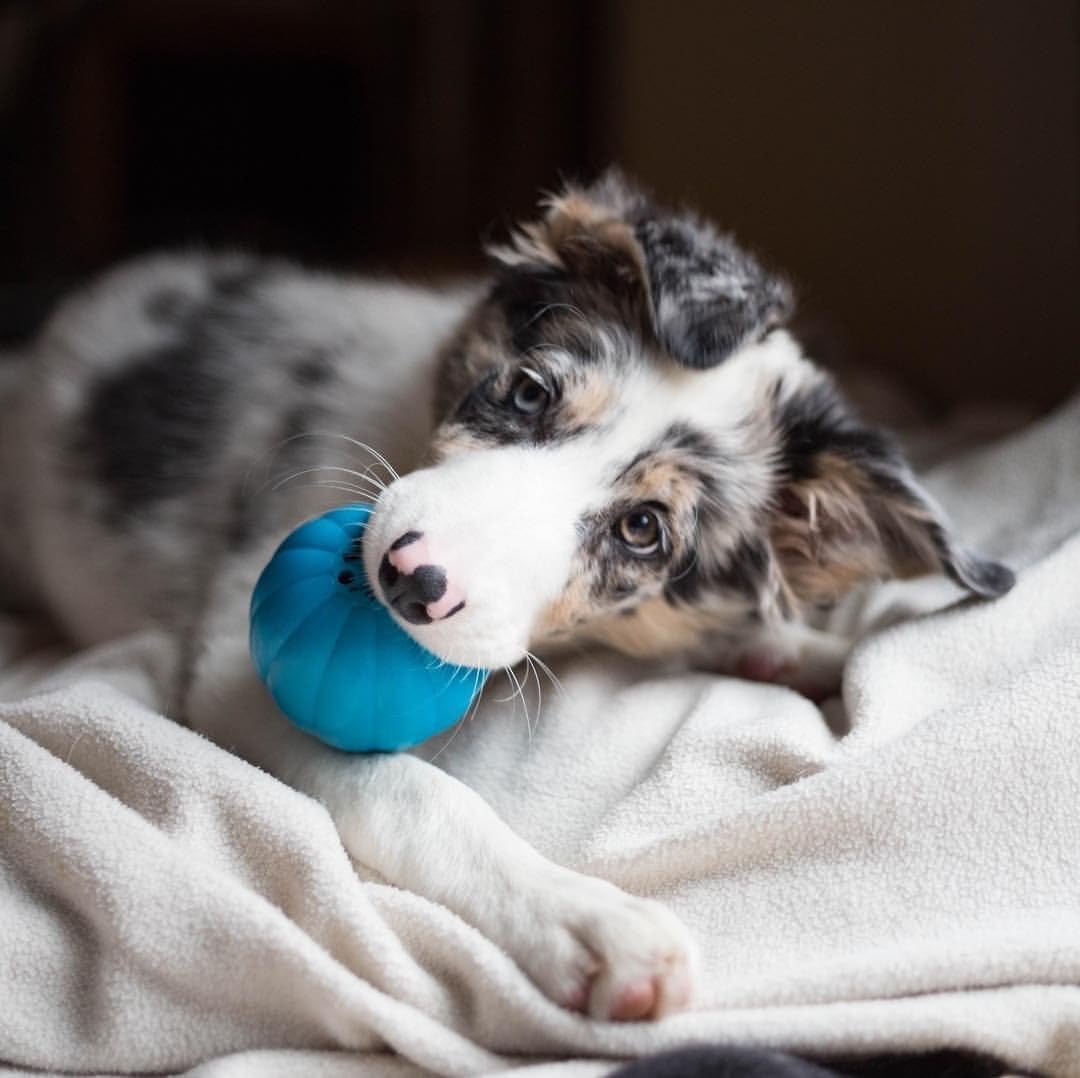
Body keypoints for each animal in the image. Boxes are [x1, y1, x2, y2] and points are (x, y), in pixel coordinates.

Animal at [0, 170, 1010, 1019]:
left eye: (643, 529)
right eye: (526, 394)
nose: (407, 578)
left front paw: (810, 650)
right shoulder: (233, 671)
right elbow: (414, 794)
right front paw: (585, 922)